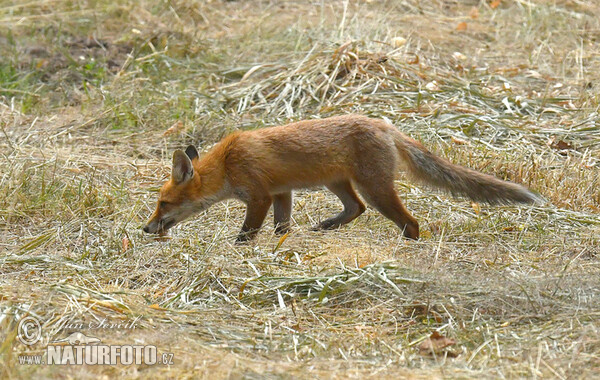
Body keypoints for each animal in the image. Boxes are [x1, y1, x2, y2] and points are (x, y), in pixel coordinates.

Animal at [143, 114, 540, 242]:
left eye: (162, 203)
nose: (145, 229)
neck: (227, 163)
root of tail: (385, 125)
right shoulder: (282, 193)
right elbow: (282, 226)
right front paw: (283, 244)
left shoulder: (259, 195)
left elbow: (247, 233)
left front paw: (240, 248)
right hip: (338, 184)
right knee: (356, 209)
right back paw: (327, 226)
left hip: (375, 189)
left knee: (409, 222)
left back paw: (407, 245)